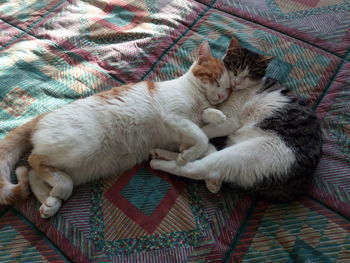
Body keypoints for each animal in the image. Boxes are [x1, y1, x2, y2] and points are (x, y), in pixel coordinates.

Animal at [0, 41, 232, 219]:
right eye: (215, 79)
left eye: (229, 88)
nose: (222, 96)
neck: (197, 98)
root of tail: (41, 117)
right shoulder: (174, 117)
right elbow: (202, 140)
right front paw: (187, 157)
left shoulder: (183, 134)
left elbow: (208, 146)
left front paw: (210, 176)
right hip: (81, 147)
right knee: (34, 161)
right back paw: (59, 189)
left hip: (80, 167)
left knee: (33, 175)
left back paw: (50, 202)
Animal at [150, 36, 322, 202]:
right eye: (235, 68)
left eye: (249, 75)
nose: (237, 82)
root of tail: (299, 185)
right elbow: (204, 117)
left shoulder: (232, 121)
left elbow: (204, 128)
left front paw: (186, 143)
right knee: (206, 158)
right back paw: (164, 153)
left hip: (245, 155)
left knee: (197, 168)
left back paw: (162, 162)